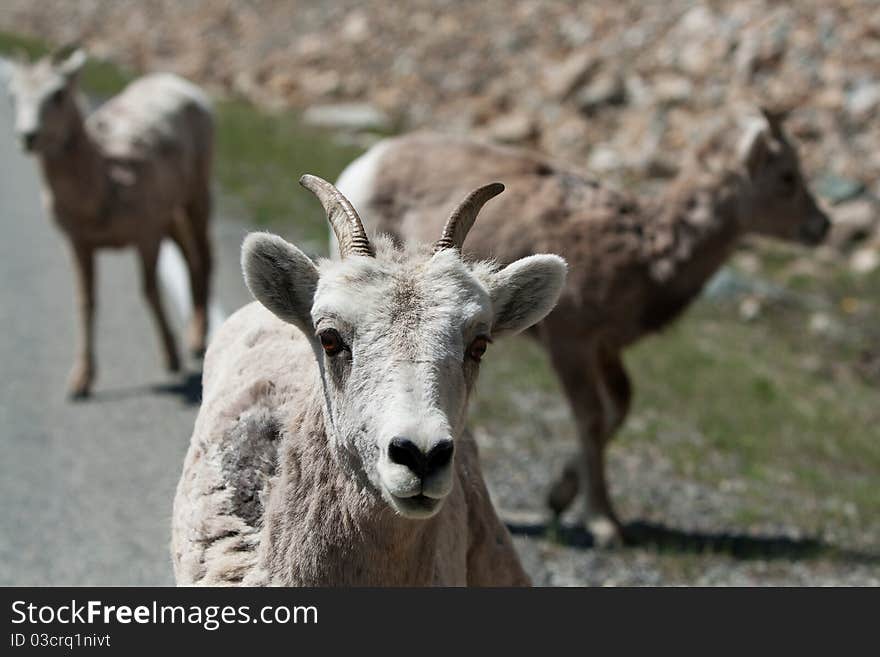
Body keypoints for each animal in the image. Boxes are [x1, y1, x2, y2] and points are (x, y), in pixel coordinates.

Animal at [6, 48, 213, 398]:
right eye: (12, 95)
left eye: (58, 93)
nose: (28, 136)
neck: (103, 183)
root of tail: (179, 83)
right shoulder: (78, 243)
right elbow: (85, 302)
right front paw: (80, 382)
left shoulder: (146, 235)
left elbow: (149, 291)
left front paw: (170, 359)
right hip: (171, 213)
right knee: (190, 257)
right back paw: (194, 336)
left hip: (198, 194)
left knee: (205, 257)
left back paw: (198, 341)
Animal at [336, 109, 832, 548]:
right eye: (788, 177)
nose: (822, 226)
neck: (643, 252)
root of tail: (370, 162)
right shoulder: (570, 343)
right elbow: (591, 416)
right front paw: (604, 525)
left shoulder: (606, 347)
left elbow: (618, 409)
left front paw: (559, 497)